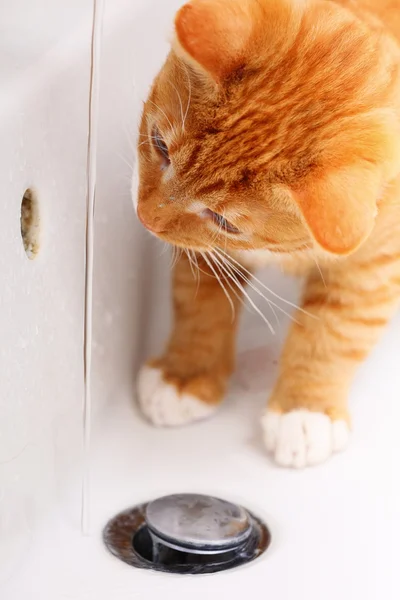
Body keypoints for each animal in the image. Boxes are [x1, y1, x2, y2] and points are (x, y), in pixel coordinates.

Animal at [133, 0, 400, 468]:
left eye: (225, 221)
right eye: (160, 146)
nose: (147, 219)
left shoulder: (372, 268)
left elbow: (335, 332)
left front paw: (305, 411)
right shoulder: (207, 254)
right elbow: (199, 308)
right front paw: (184, 375)